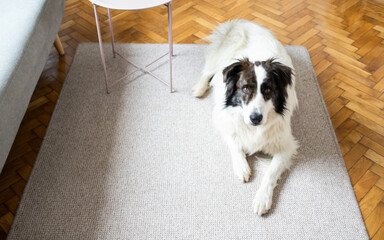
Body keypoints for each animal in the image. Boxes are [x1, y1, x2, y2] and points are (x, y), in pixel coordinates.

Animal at [194, 20, 298, 216]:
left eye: (268, 90)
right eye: (245, 89)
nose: (255, 118)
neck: (254, 128)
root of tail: (243, 22)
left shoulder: (286, 145)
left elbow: (271, 172)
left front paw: (262, 198)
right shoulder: (224, 121)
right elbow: (235, 143)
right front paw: (242, 167)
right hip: (219, 58)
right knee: (208, 71)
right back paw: (199, 88)